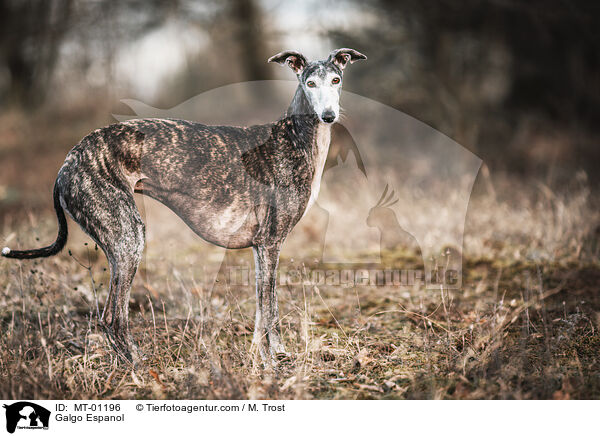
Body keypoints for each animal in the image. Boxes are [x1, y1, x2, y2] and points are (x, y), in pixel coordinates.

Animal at [1, 47, 366, 362]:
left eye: (336, 80)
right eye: (310, 83)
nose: (328, 116)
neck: (293, 138)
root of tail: (68, 163)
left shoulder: (259, 247)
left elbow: (263, 309)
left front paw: (264, 355)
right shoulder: (271, 242)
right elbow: (270, 308)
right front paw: (276, 358)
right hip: (128, 239)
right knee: (112, 317)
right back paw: (139, 367)